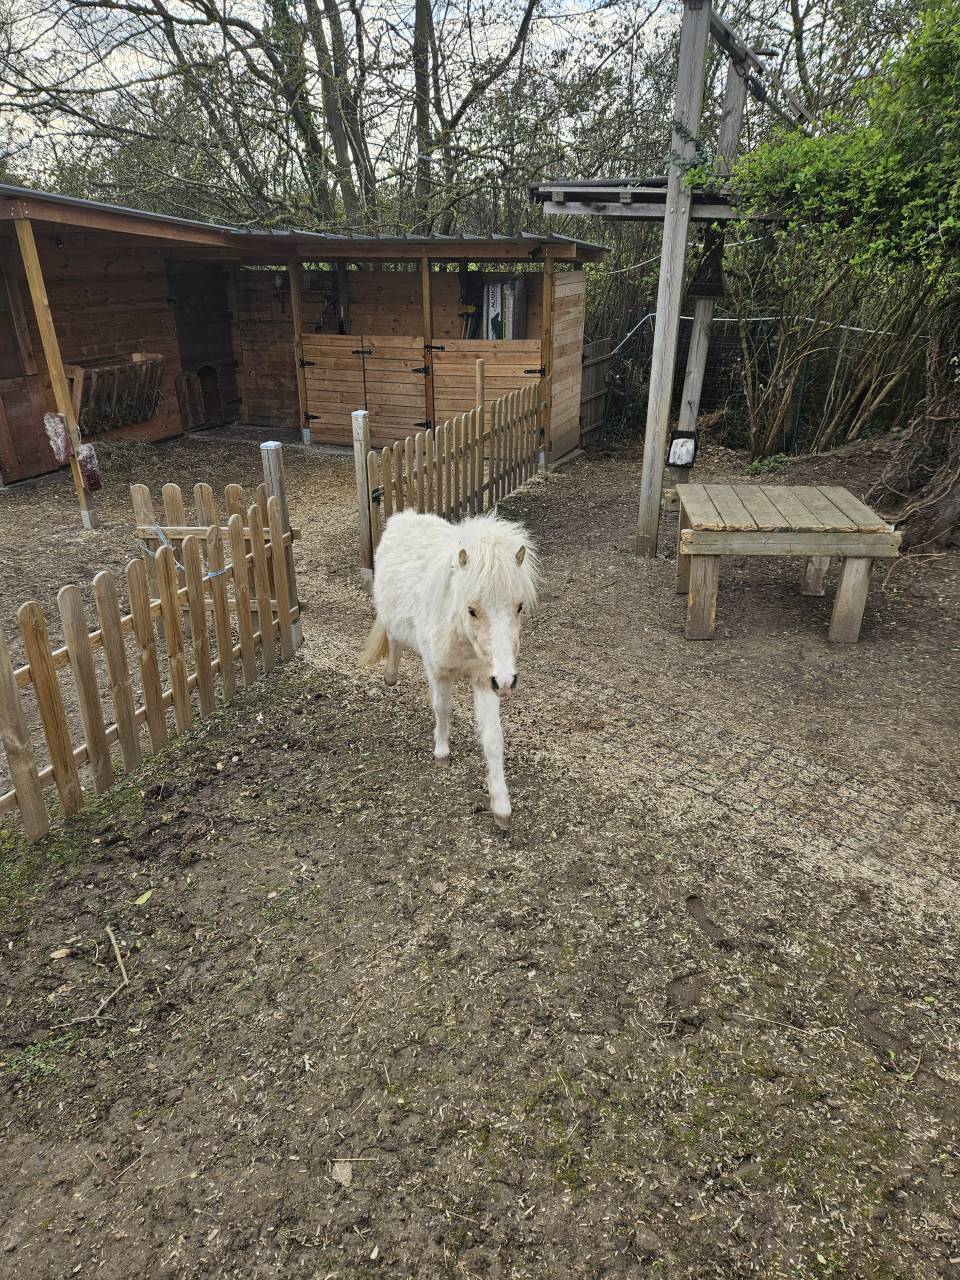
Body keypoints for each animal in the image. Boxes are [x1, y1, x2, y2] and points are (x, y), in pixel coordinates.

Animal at [361, 509, 540, 831]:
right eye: (471, 609)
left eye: (519, 606)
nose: (507, 681)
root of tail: (403, 517)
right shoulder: (439, 672)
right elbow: (442, 709)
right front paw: (442, 752)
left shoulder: (485, 680)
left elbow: (493, 738)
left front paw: (501, 806)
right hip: (392, 619)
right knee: (393, 639)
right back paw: (390, 676)